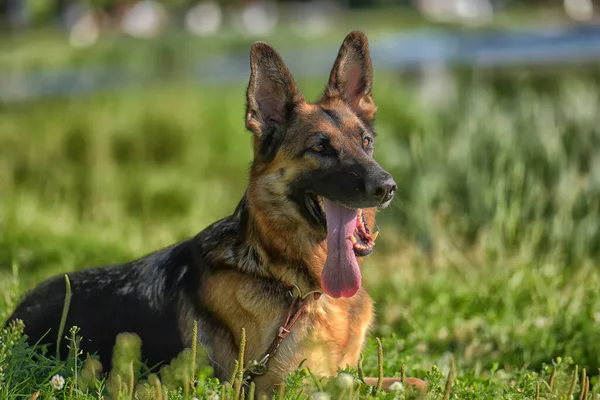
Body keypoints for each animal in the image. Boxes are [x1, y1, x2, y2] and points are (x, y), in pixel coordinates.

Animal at [7, 30, 424, 394]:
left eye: (365, 142)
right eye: (320, 148)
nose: (387, 187)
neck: (292, 281)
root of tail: (14, 316)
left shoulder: (344, 371)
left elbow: (411, 381)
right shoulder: (281, 386)